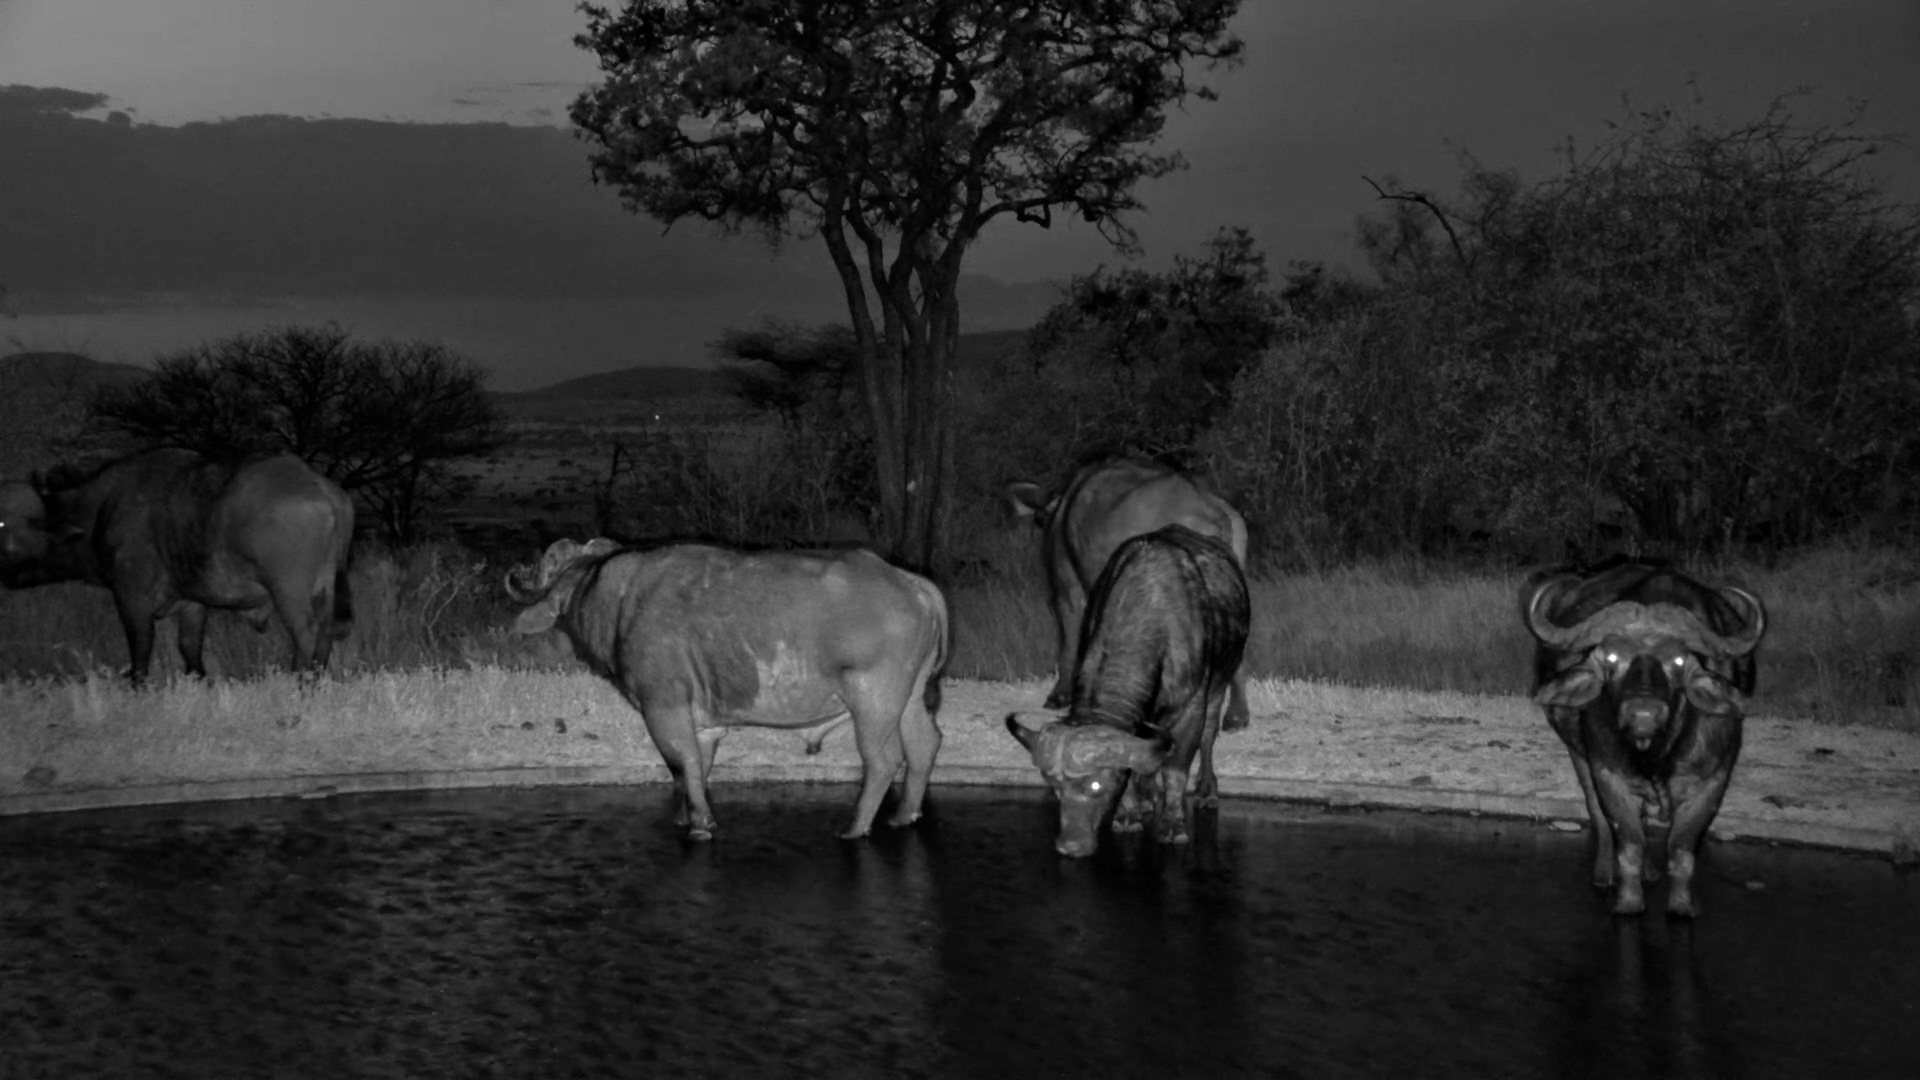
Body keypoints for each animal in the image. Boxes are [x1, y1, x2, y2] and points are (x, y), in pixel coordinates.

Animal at [0, 450, 355, 682]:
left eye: (3, 524)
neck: (101, 509)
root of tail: (319, 486)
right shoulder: (192, 603)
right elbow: (190, 650)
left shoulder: (131, 598)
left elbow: (141, 649)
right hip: (325, 588)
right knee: (326, 635)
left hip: (288, 592)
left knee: (306, 635)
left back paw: (303, 683)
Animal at [506, 538, 949, 841]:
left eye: (551, 564)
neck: (618, 602)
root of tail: (909, 581)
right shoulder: (704, 724)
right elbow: (697, 768)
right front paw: (686, 814)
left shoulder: (663, 706)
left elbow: (681, 761)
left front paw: (700, 824)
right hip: (909, 701)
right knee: (924, 745)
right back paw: (903, 815)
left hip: (874, 700)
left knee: (883, 760)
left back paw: (855, 827)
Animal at [1006, 525, 1250, 857]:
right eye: (1053, 786)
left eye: (1097, 785)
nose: (1071, 845)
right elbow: (1135, 762)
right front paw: (1128, 813)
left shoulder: (1190, 708)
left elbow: (1176, 769)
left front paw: (1173, 826)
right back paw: (1147, 797)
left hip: (1219, 685)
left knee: (1209, 735)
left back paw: (1205, 791)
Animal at [1521, 556, 1768, 918]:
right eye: (1611, 656)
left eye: (1678, 659)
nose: (1643, 713)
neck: (1655, 753)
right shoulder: (1607, 774)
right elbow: (1629, 841)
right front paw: (1628, 902)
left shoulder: (1713, 780)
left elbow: (1681, 848)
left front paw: (1682, 906)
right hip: (1578, 755)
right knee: (1597, 813)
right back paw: (1605, 874)